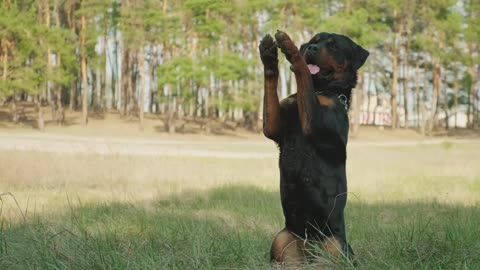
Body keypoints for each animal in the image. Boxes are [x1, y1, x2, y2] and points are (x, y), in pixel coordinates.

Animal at [258, 30, 368, 264]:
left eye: (334, 46)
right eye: (313, 41)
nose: (311, 49)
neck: (321, 90)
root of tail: (311, 247)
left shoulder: (314, 122)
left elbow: (303, 74)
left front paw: (290, 47)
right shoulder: (273, 125)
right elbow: (272, 80)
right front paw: (268, 54)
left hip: (336, 244)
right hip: (281, 239)